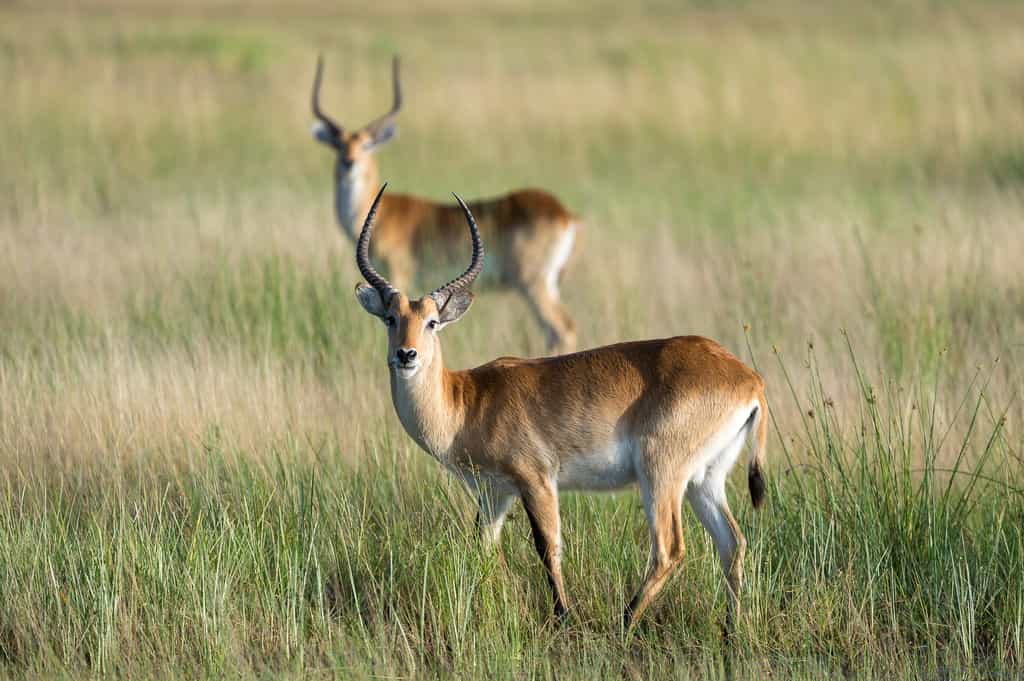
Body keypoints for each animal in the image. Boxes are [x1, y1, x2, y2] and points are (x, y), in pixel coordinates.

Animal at [312, 56, 580, 353]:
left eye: (368, 144)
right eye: (338, 144)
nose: (349, 162)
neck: (380, 212)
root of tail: (563, 212)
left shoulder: (400, 272)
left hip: (534, 283)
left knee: (563, 328)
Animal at [353, 185, 769, 630]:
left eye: (432, 321)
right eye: (390, 318)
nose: (406, 355)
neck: (468, 400)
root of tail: (748, 377)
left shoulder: (536, 480)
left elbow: (547, 547)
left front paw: (563, 616)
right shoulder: (494, 494)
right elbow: (484, 550)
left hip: (661, 474)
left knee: (670, 549)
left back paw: (624, 622)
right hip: (704, 479)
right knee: (732, 542)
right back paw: (729, 631)